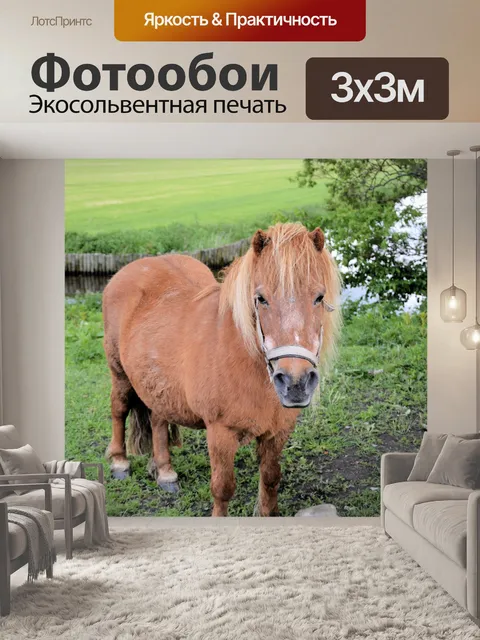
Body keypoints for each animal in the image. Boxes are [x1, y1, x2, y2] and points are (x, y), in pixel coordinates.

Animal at [103, 222, 341, 516]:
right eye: (261, 298)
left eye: (319, 297)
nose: (295, 383)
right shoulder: (220, 433)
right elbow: (223, 488)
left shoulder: (278, 432)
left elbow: (271, 478)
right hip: (119, 374)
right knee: (119, 409)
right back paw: (119, 463)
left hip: (157, 383)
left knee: (158, 420)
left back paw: (165, 472)